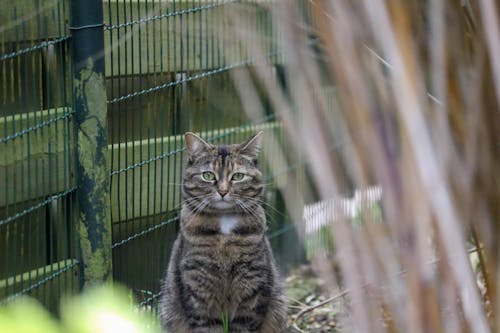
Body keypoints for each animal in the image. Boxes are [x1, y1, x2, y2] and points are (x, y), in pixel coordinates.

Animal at [160, 132, 286, 332]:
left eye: (238, 176)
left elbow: (244, 324)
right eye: (208, 175)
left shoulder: (252, 284)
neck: (224, 226)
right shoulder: (198, 287)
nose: (223, 191)